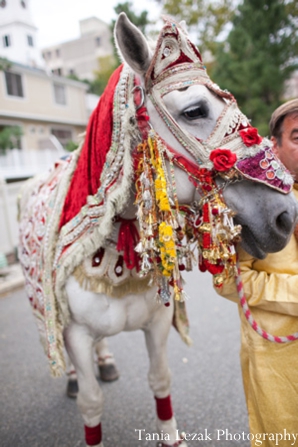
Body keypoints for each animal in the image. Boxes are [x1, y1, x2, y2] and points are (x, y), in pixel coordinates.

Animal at [19, 12, 298, 447]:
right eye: (195, 110)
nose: (286, 215)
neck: (115, 247)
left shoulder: (157, 325)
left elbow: (161, 379)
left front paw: (170, 435)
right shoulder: (76, 334)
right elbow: (91, 402)